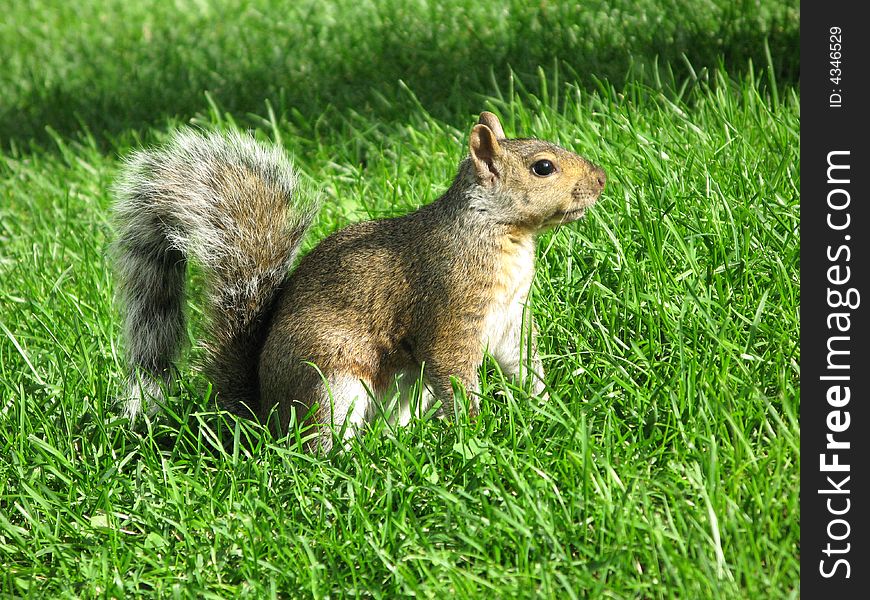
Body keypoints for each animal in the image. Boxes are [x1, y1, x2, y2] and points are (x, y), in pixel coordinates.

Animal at [114, 112, 608, 450]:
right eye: (543, 167)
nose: (602, 179)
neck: (500, 232)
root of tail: (262, 412)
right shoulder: (449, 310)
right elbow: (454, 374)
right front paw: (474, 430)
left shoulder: (509, 320)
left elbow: (521, 362)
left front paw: (547, 405)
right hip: (331, 381)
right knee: (318, 443)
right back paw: (348, 461)